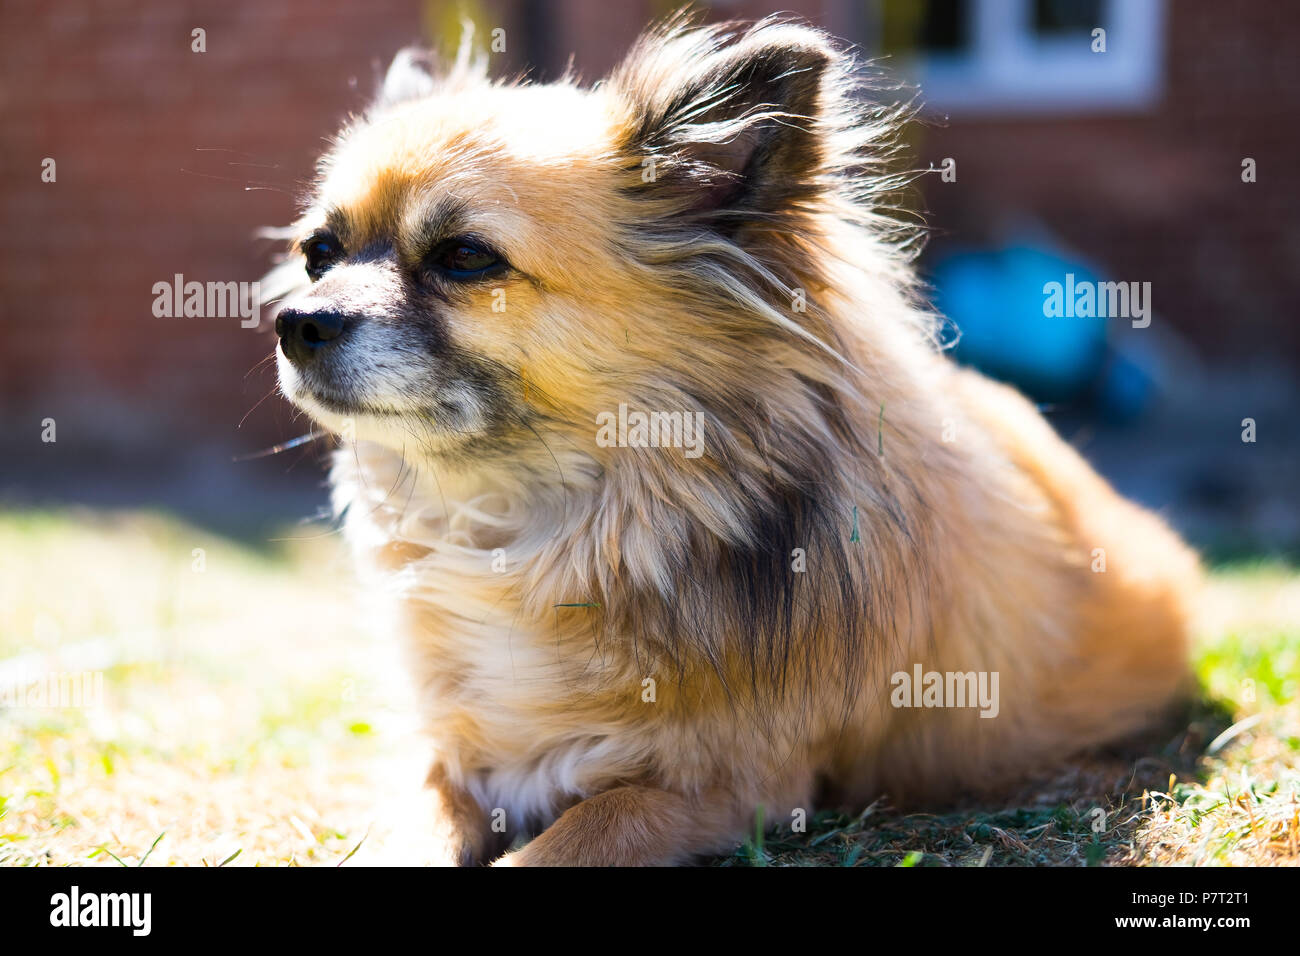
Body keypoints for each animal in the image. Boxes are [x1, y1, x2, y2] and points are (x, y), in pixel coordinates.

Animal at [261, 14, 1196, 868]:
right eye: (319, 253)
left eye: (464, 258)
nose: (297, 322)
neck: (538, 529)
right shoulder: (445, 754)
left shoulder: (727, 788)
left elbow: (572, 837)